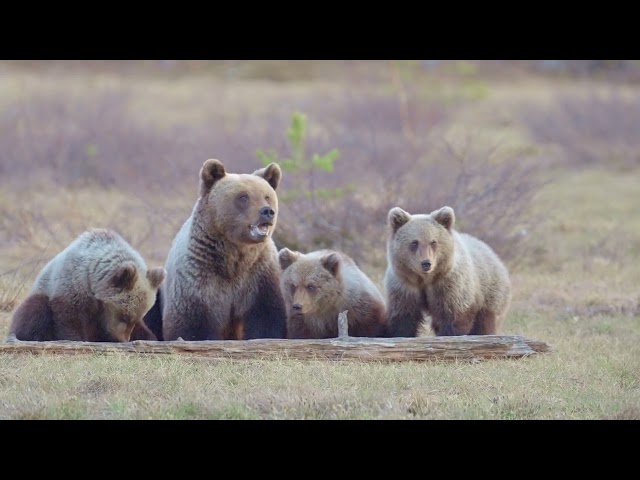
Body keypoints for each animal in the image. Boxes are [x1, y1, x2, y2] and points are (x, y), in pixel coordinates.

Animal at [8, 228, 165, 342]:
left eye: (137, 317)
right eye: (124, 316)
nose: (124, 339)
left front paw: (149, 337)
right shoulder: (73, 284)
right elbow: (69, 318)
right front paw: (77, 339)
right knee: (35, 310)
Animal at [158, 159, 290, 340]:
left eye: (267, 196)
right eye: (243, 197)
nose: (267, 211)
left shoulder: (259, 276)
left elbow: (266, 316)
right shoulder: (198, 279)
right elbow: (191, 324)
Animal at [384, 206, 510, 338]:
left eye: (433, 242)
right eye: (414, 242)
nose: (426, 263)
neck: (425, 280)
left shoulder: (449, 285)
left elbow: (453, 316)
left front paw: (449, 333)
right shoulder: (405, 286)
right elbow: (404, 317)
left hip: (489, 293)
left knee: (485, 322)